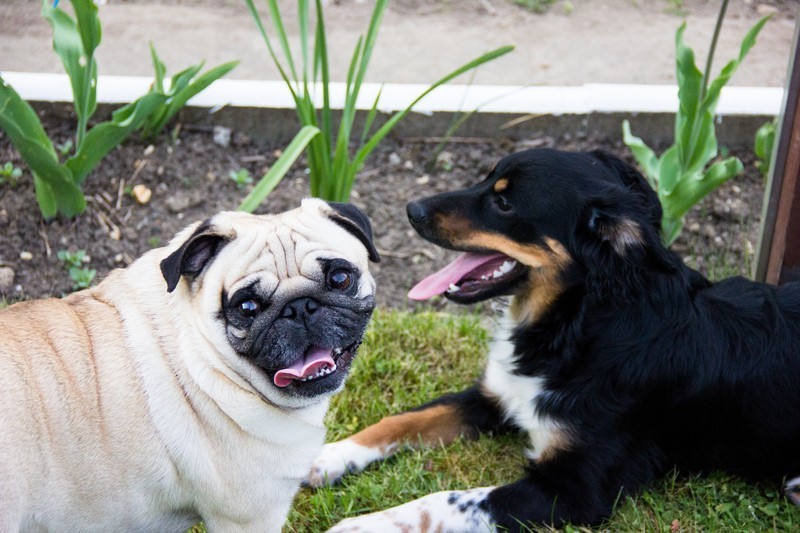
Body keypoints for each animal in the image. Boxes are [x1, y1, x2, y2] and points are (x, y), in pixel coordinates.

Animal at [310, 148, 800, 528]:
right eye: (487, 177)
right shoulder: (494, 396)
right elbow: (400, 421)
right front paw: (323, 458)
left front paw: (362, 525)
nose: (412, 209)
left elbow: (445, 500)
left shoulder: (575, 489)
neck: (574, 327)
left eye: (504, 203)